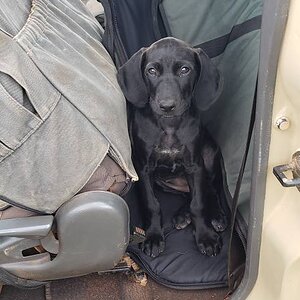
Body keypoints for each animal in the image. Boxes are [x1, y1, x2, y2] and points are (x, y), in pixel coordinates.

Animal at [117, 37, 227, 258]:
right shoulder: (143, 167)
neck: (168, 126)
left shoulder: (195, 166)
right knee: (189, 194)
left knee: (211, 189)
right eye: (151, 71)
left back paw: (216, 216)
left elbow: (198, 203)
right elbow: (152, 204)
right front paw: (153, 236)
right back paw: (182, 215)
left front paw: (205, 236)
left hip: (210, 156)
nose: (167, 105)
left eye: (185, 70)